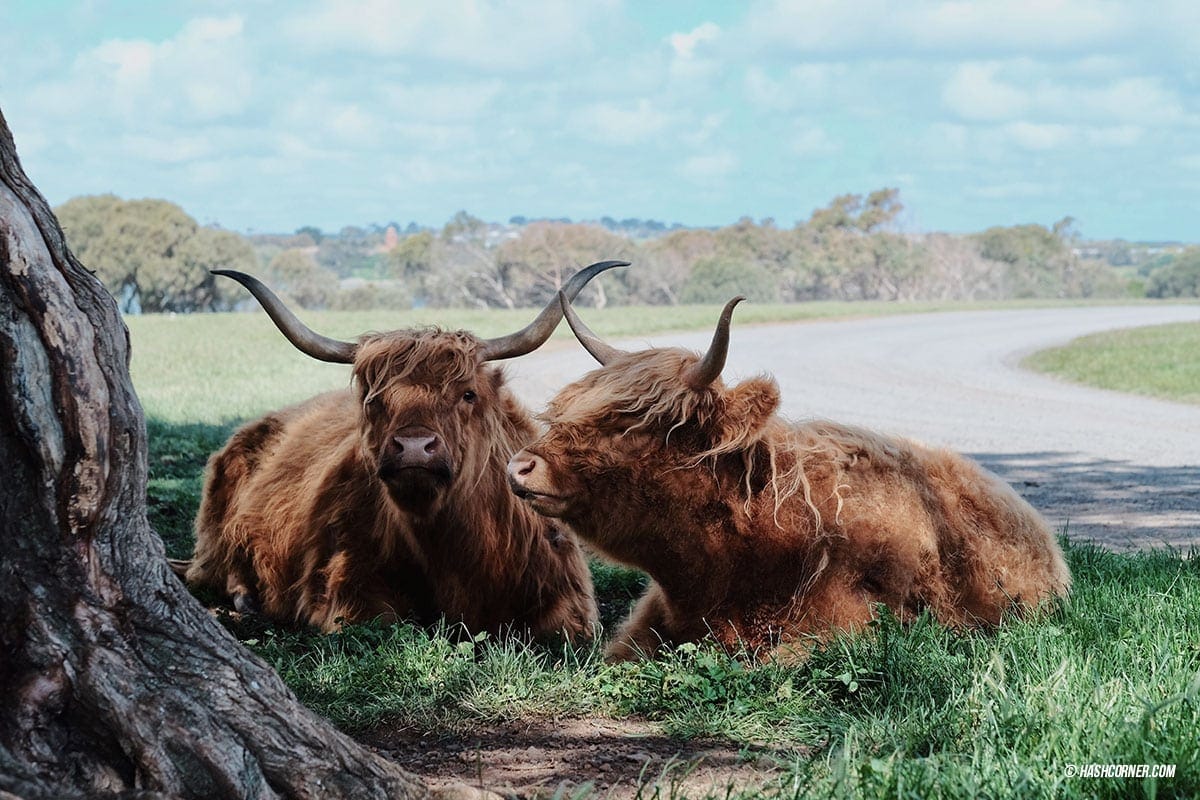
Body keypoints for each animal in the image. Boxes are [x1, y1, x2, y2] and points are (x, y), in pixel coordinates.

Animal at [180, 262, 628, 638]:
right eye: (373, 400)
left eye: (467, 394)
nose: (414, 447)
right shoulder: (345, 590)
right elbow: (385, 622)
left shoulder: (569, 597)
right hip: (219, 528)